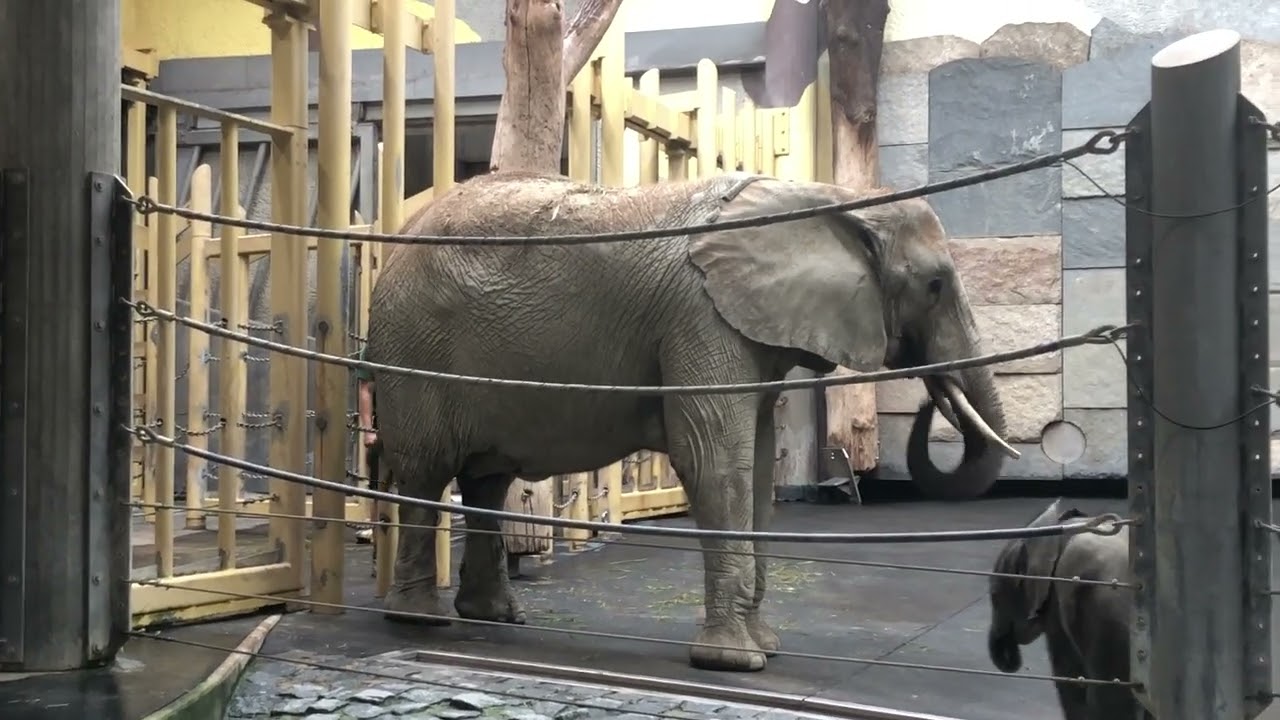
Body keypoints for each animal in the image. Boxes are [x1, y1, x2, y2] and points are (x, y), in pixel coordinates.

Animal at [363, 170, 1019, 672]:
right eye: (935, 285)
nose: (930, 393)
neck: (824, 195)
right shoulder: (701, 316)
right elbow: (715, 462)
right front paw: (735, 662)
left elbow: (757, 466)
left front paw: (766, 649)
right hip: (414, 348)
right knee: (427, 472)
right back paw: (416, 620)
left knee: (487, 479)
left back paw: (494, 616)